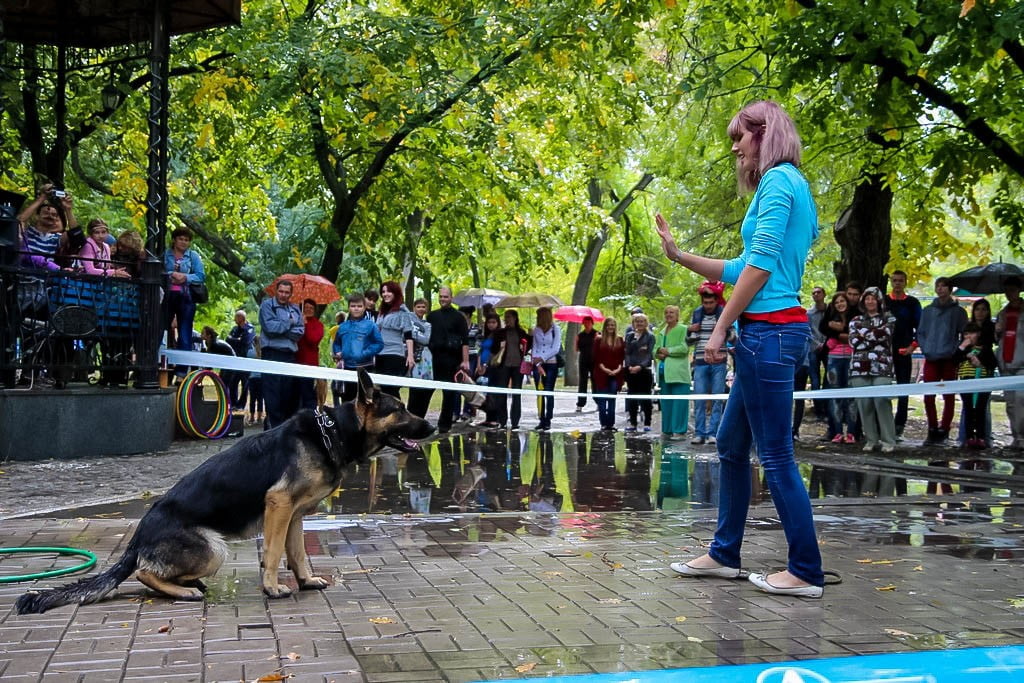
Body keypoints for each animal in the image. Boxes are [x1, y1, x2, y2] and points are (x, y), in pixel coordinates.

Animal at [17, 368, 432, 614]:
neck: (334, 432)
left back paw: (187, 583)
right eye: (400, 410)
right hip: (213, 548)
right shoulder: (279, 505)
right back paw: (184, 590)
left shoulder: (295, 515)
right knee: (142, 574)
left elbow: (297, 553)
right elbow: (275, 552)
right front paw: (272, 588)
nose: (432, 427)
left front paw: (305, 581)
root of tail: (136, 541)